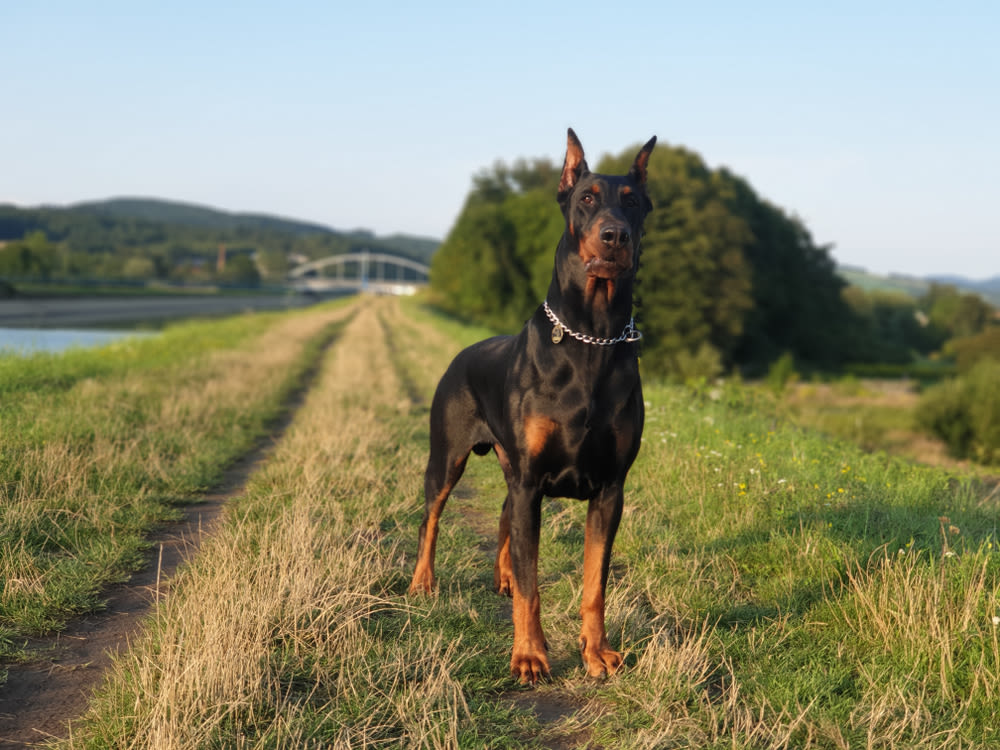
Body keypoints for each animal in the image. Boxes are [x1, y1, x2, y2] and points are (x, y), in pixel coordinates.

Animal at [408, 131, 656, 688]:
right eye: (586, 198)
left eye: (632, 201)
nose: (614, 236)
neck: (592, 338)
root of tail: (462, 353)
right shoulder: (530, 480)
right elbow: (532, 585)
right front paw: (529, 656)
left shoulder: (610, 489)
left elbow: (593, 583)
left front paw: (596, 653)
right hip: (447, 457)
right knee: (432, 517)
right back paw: (422, 582)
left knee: (503, 516)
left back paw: (499, 575)